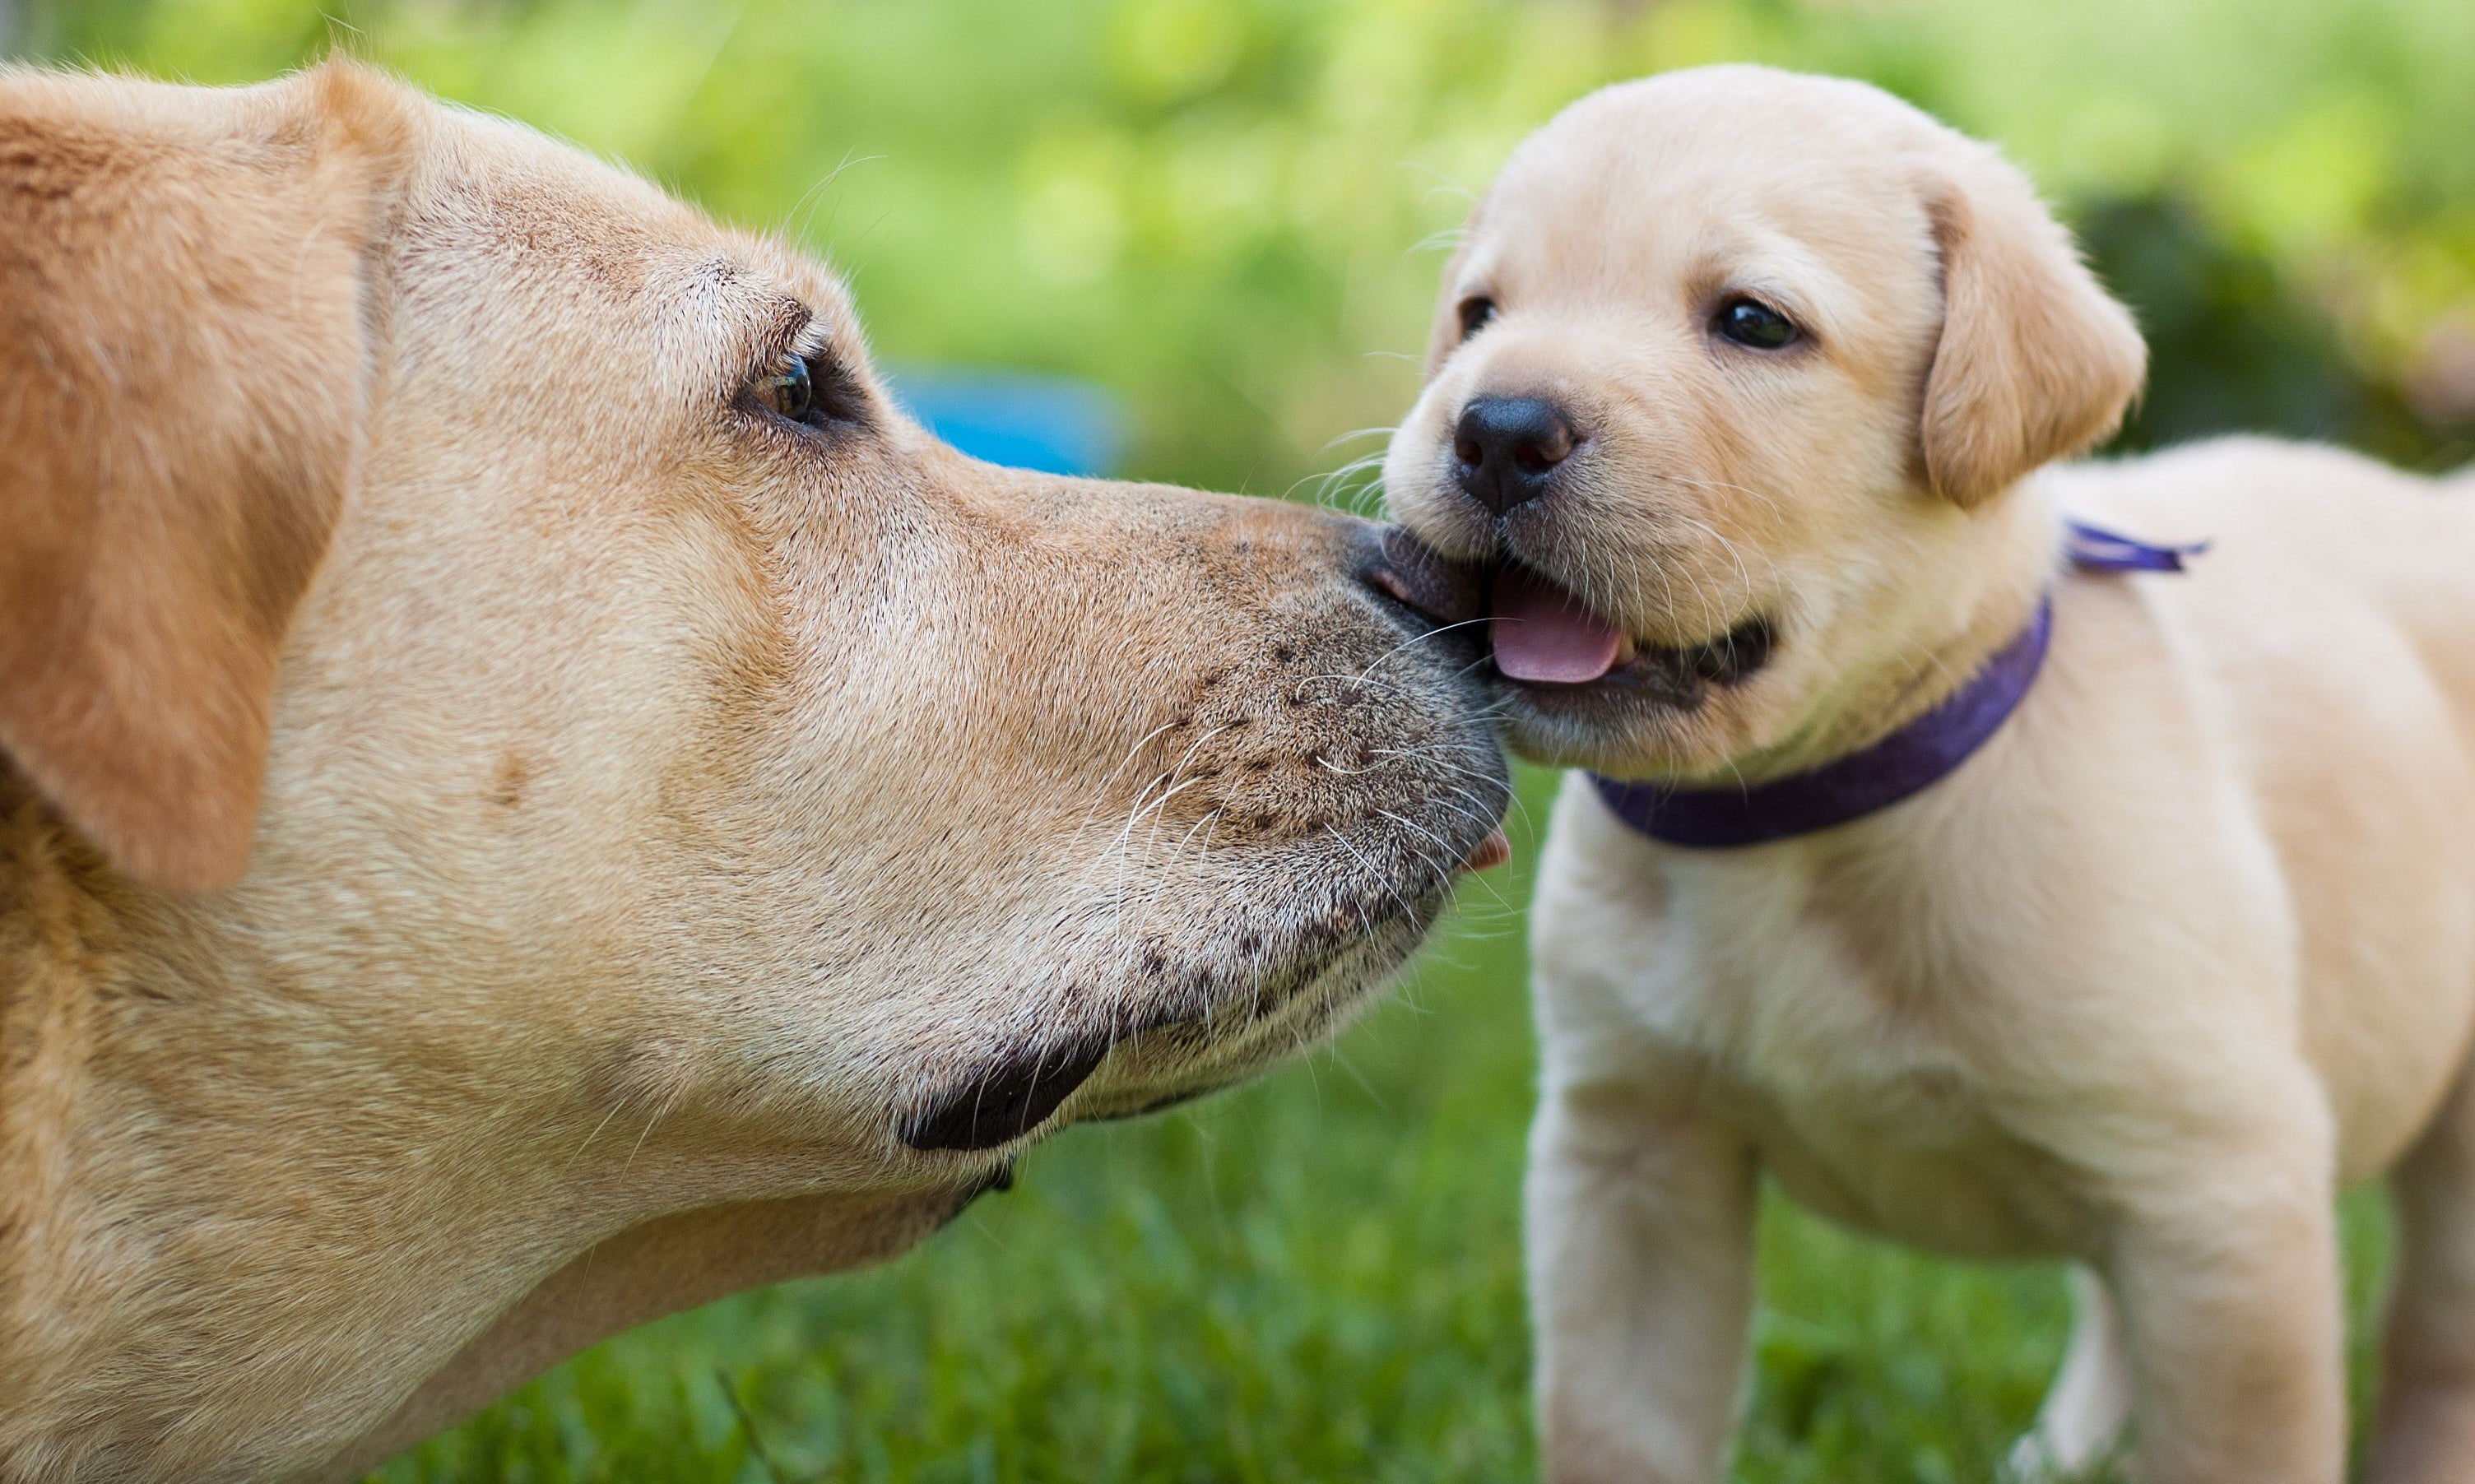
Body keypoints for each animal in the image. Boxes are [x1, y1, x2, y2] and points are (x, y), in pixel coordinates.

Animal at [1386, 63, 2475, 1484]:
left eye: (1753, 323)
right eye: (1479, 314)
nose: (1498, 429)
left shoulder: (2226, 1202)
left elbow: (2238, 1444)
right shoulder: (1629, 1158)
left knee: (2435, 1340)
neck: (1798, 820)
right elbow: (1616, 1430)